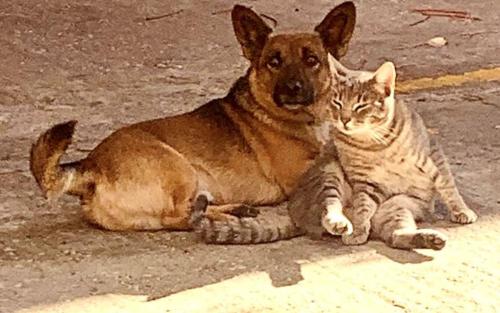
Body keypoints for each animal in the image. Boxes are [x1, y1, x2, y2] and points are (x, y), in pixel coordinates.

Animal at [29, 2, 356, 230]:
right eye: (274, 62)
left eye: (312, 60)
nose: (292, 89)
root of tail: (90, 166)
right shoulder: (297, 174)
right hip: (180, 167)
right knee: (178, 217)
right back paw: (224, 216)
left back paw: (232, 210)